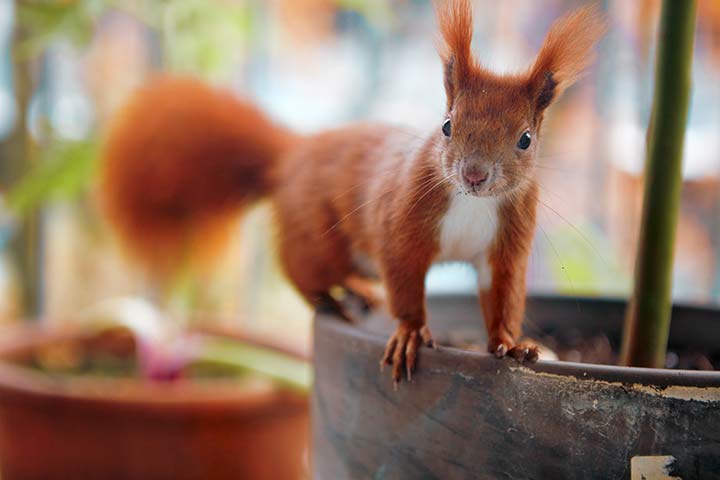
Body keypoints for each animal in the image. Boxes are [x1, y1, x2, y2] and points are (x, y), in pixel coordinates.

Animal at [100, 0, 605, 385]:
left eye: (526, 139)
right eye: (447, 125)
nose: (475, 174)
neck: (472, 204)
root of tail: (293, 154)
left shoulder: (507, 241)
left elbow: (503, 295)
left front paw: (510, 343)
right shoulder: (401, 222)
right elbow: (405, 281)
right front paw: (410, 333)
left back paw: (361, 290)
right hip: (320, 237)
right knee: (298, 267)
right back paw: (326, 298)